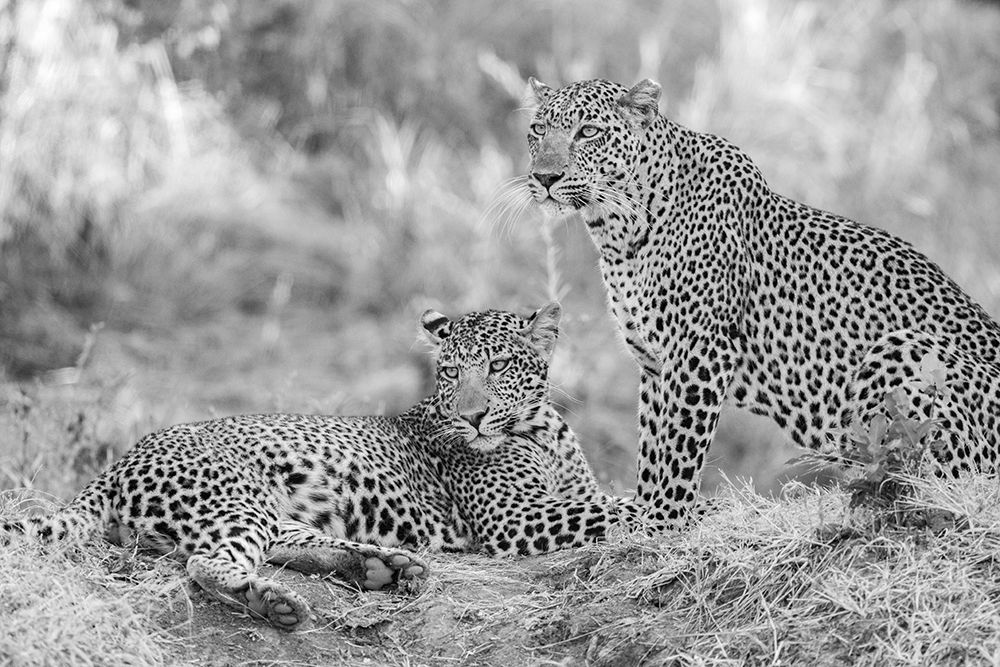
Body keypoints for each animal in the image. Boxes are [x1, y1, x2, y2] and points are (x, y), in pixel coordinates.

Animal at [0, 306, 640, 628]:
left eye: (501, 365)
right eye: (452, 372)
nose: (473, 416)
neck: (541, 427)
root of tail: (116, 464)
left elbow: (603, 501)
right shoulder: (513, 519)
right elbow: (617, 508)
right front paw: (667, 508)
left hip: (268, 509)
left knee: (285, 545)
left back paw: (383, 567)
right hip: (235, 500)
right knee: (208, 563)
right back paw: (272, 601)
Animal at [524, 74, 1000, 532]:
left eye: (588, 132)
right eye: (538, 129)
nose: (545, 178)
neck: (618, 230)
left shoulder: (702, 349)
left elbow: (678, 448)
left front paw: (663, 520)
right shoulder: (656, 362)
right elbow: (653, 445)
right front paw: (644, 511)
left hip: (904, 349)